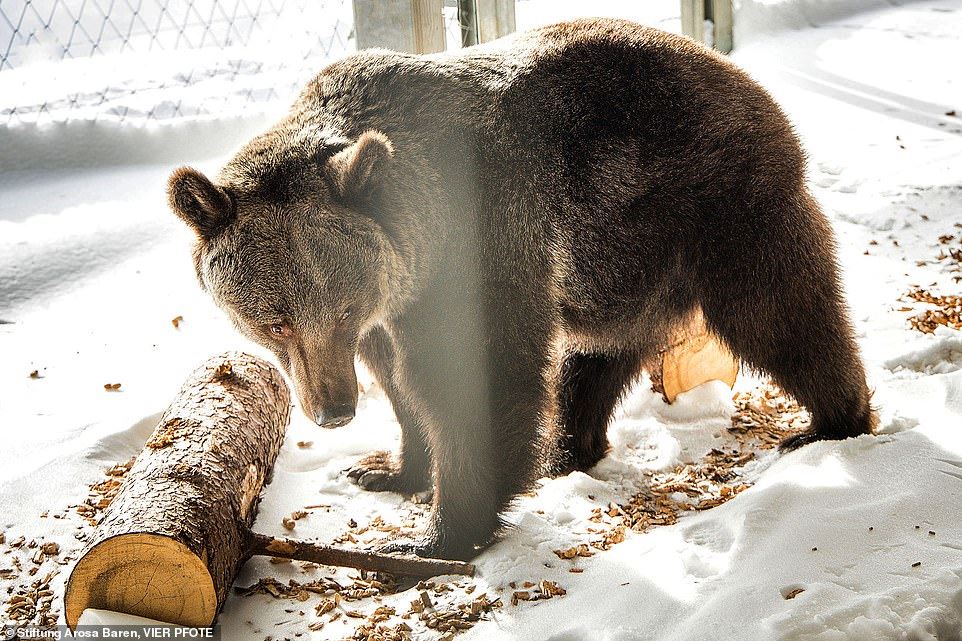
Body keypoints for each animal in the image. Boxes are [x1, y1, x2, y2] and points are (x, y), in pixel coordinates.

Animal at [167, 18, 875, 560]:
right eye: (273, 321)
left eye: (335, 309)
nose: (333, 410)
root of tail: (748, 81)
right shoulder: (392, 301)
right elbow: (400, 382)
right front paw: (389, 469)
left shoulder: (479, 248)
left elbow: (478, 377)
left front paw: (439, 534)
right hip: (621, 260)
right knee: (595, 356)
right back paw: (566, 448)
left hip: (715, 205)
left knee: (779, 311)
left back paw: (830, 421)